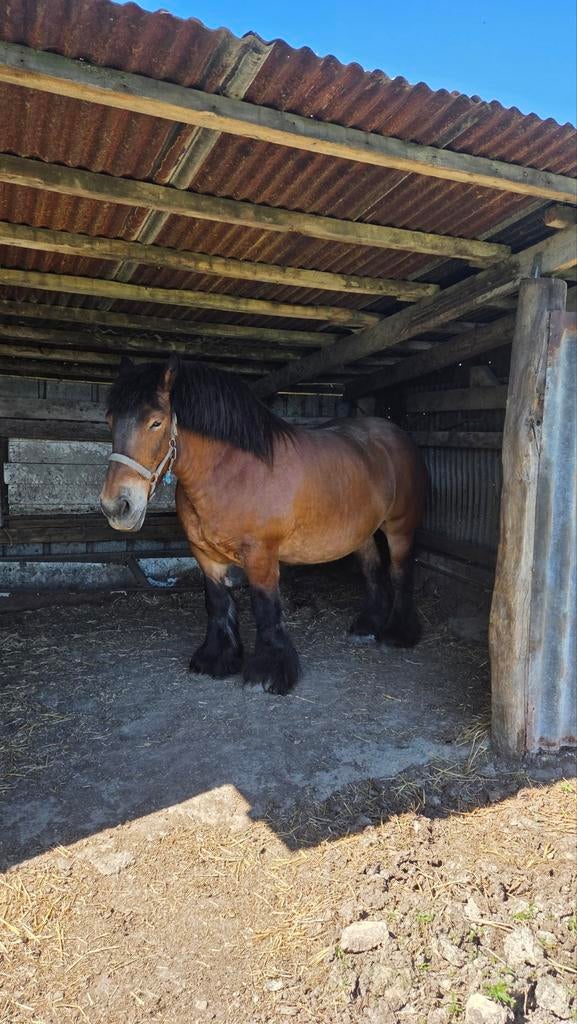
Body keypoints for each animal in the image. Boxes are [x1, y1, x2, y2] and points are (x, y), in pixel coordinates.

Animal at [100, 357, 428, 695]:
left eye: (156, 422)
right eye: (110, 421)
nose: (117, 507)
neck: (232, 472)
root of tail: (395, 434)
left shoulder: (260, 554)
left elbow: (266, 607)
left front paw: (267, 673)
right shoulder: (203, 554)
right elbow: (218, 603)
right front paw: (216, 660)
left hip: (400, 528)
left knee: (400, 572)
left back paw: (398, 633)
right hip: (360, 533)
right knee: (373, 570)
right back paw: (367, 626)